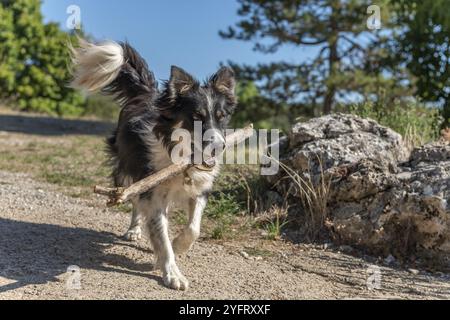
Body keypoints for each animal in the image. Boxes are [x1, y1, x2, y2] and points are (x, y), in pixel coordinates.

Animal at [70, 39, 236, 290]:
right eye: (196, 117)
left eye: (222, 116)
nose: (218, 146)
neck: (180, 155)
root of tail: (146, 93)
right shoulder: (154, 192)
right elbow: (160, 234)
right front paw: (172, 273)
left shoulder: (199, 189)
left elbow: (193, 229)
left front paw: (178, 246)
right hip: (127, 169)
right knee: (134, 200)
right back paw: (133, 229)